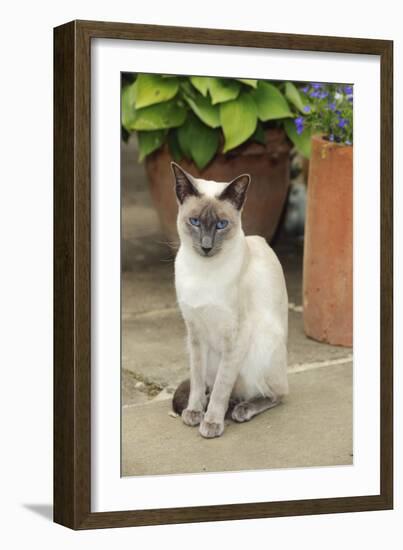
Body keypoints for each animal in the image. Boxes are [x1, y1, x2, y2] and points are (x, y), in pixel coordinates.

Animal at [172, 164, 288, 440]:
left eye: (221, 225)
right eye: (194, 222)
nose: (206, 246)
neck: (203, 272)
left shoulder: (235, 336)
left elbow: (222, 388)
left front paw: (211, 423)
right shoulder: (195, 333)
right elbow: (197, 380)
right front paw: (194, 412)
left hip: (261, 345)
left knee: (275, 393)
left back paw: (241, 409)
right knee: (213, 385)